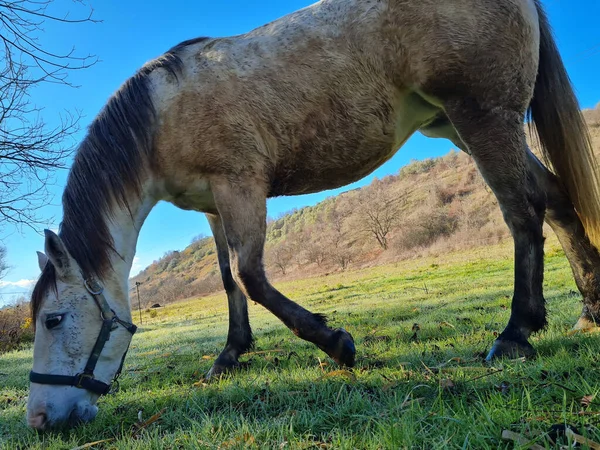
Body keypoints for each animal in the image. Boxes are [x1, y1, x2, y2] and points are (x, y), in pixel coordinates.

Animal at [25, 0, 600, 430]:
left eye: (53, 319)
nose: (38, 419)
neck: (161, 113)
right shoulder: (213, 206)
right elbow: (228, 281)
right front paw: (230, 355)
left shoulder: (240, 186)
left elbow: (250, 276)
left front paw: (337, 344)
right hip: (460, 125)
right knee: (557, 201)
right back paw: (588, 310)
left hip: (482, 118)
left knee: (522, 213)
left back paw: (516, 332)